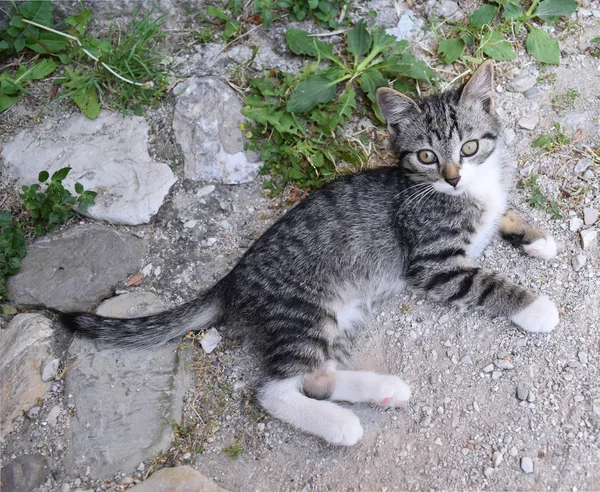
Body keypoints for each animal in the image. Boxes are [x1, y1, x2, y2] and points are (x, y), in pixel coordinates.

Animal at [61, 60, 556, 446]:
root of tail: (234, 276)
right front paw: (534, 308)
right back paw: (342, 425)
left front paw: (536, 236)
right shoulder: (432, 263)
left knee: (317, 377)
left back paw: (382, 390)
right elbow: (486, 282)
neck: (466, 192)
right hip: (304, 308)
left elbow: (505, 211)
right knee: (273, 390)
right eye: (427, 156)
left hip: (345, 310)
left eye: (469, 147)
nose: (452, 178)